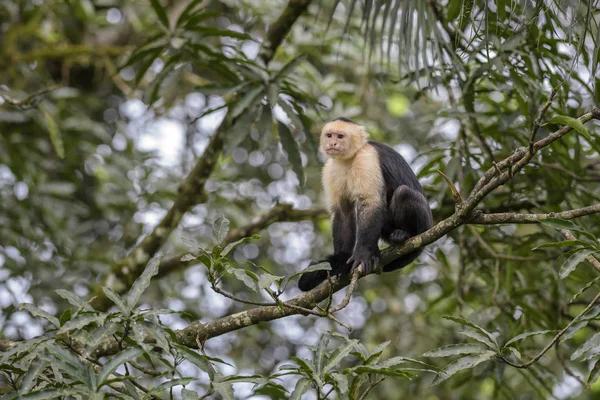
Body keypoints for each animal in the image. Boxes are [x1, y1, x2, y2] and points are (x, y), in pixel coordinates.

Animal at [298, 116, 432, 290]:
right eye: (329, 135)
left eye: (340, 136)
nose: (332, 143)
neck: (349, 158)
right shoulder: (330, 170)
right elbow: (343, 213)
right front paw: (343, 261)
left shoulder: (367, 158)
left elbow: (371, 203)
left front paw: (363, 254)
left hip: (425, 225)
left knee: (403, 193)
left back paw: (405, 234)